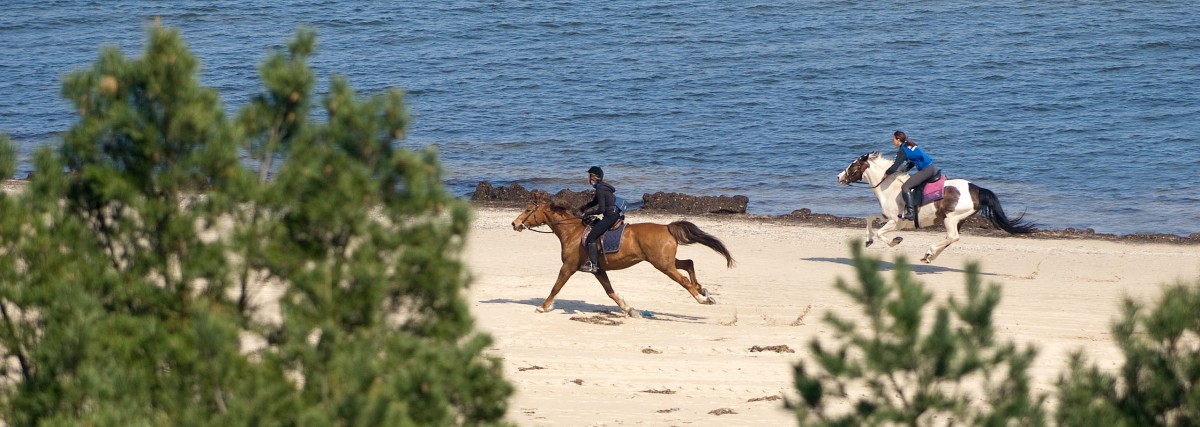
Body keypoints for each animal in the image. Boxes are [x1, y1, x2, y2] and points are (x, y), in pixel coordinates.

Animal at [511, 190, 734, 316]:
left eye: (528, 210)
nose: (514, 223)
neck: (571, 232)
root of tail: (666, 227)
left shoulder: (568, 267)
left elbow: (556, 287)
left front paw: (542, 307)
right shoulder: (598, 270)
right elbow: (610, 292)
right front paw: (629, 310)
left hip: (663, 264)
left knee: (684, 280)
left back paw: (702, 298)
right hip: (665, 261)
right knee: (688, 263)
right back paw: (704, 291)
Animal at [837, 151, 1036, 263]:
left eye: (853, 165)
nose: (839, 177)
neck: (888, 187)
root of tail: (977, 189)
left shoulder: (896, 222)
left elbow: (881, 233)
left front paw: (895, 241)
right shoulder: (887, 218)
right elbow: (869, 218)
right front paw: (868, 240)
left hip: (951, 218)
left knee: (953, 237)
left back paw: (930, 252)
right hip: (958, 219)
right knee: (950, 238)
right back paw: (929, 255)